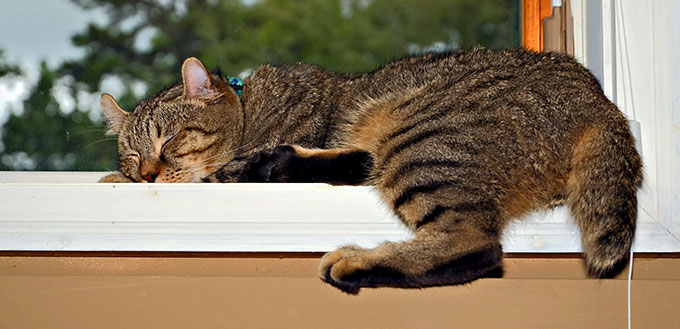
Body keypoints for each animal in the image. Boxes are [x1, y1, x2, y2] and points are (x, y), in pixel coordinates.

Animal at [99, 49, 644, 294]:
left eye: (168, 141)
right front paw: (117, 179)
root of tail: (598, 102)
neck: (251, 109)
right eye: (133, 155)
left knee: (477, 247)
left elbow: (213, 174)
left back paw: (352, 259)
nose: (146, 174)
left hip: (422, 138)